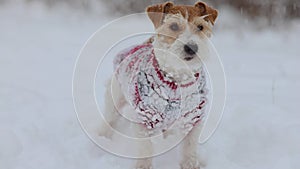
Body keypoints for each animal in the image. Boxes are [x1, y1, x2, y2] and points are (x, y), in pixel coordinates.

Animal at [98, 1, 218, 169]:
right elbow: (146, 147)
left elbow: (190, 145)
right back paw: (102, 138)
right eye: (173, 26)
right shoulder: (143, 117)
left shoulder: (193, 117)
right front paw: (143, 165)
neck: (176, 78)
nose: (191, 47)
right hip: (115, 98)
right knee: (109, 119)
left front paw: (191, 163)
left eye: (200, 27)